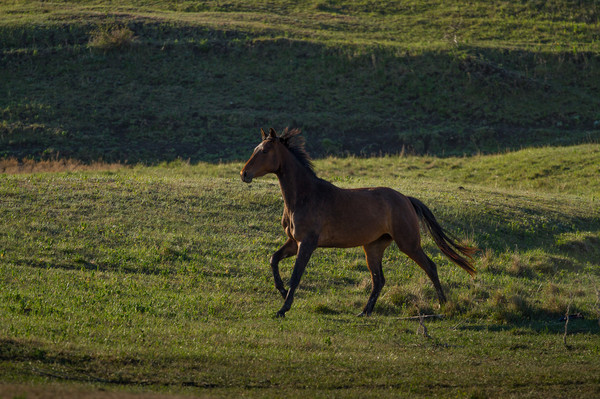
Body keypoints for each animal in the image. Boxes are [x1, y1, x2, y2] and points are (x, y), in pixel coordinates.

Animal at [239, 128, 478, 318]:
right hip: (373, 247)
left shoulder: (307, 243)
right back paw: (365, 311)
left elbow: (296, 275)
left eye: (265, 151)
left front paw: (283, 308)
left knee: (430, 267)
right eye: (256, 149)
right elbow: (273, 259)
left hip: (408, 244)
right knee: (378, 280)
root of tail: (406, 199)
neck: (304, 196)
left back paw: (442, 304)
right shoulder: (293, 242)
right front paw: (281, 292)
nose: (244, 174)